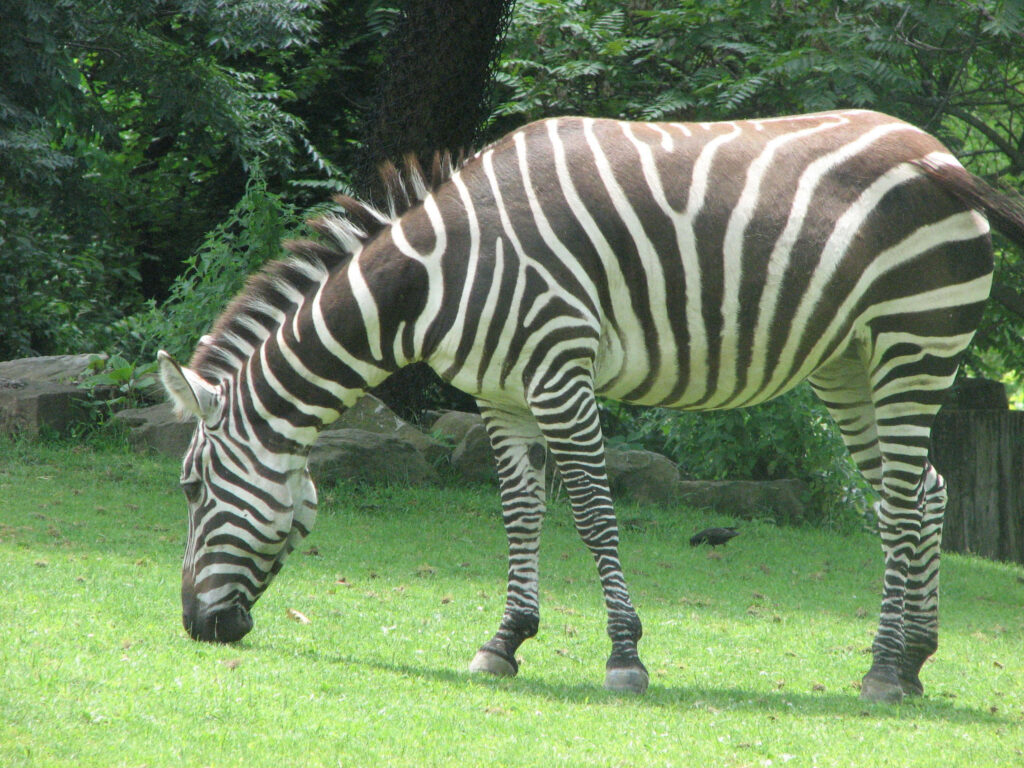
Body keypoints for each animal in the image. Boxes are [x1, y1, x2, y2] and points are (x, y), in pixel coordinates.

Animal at [159, 109, 1024, 703]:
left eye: (193, 489)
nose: (197, 628)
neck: (438, 276)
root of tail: (939, 152)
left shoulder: (559, 373)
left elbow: (593, 514)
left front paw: (624, 655)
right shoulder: (501, 396)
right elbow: (519, 515)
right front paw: (505, 642)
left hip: (914, 342)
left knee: (903, 502)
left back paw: (883, 667)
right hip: (849, 365)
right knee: (924, 492)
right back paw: (915, 661)